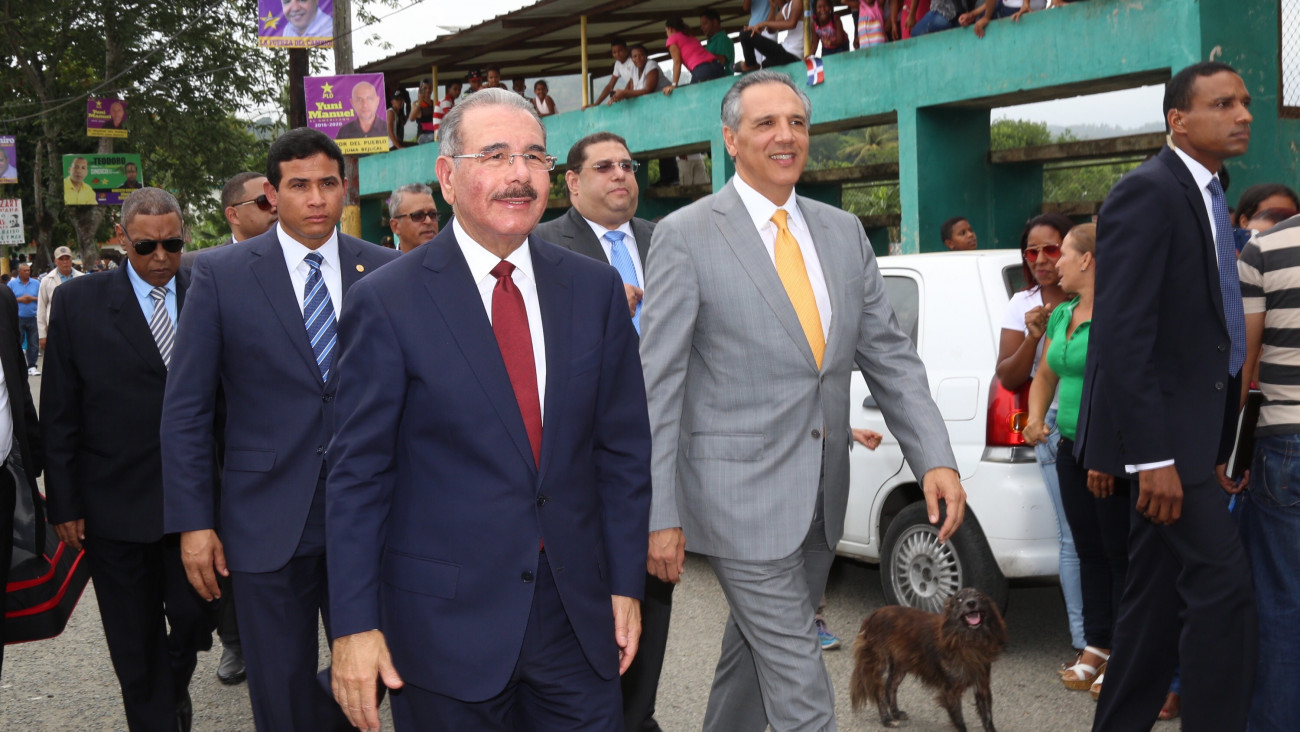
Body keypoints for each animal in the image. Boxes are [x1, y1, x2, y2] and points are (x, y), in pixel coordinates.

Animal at [850, 588, 1007, 731]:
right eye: (959, 599)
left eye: (979, 596)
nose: (971, 603)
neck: (969, 640)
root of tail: (873, 615)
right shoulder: (950, 692)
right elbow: (960, 722)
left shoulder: (982, 687)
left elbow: (988, 718)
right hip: (880, 664)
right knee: (881, 691)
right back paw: (887, 719)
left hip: (901, 666)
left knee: (891, 686)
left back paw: (895, 713)